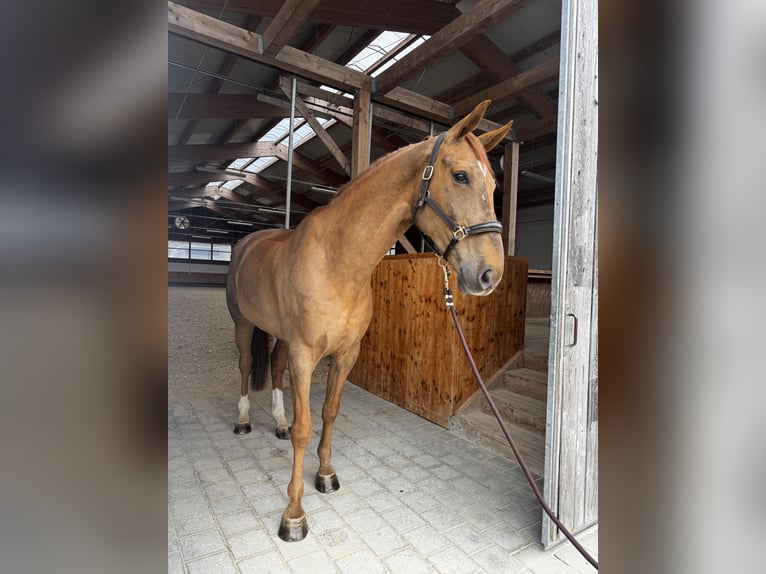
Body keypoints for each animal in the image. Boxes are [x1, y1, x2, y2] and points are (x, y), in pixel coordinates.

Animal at [226, 100, 513, 542]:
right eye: (461, 175)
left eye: (496, 185)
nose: (490, 275)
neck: (337, 262)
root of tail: (247, 242)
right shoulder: (306, 356)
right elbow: (305, 428)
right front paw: (293, 514)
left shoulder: (346, 354)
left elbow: (329, 412)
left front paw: (326, 475)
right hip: (243, 325)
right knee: (245, 366)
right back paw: (243, 421)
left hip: (281, 338)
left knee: (272, 367)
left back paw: (277, 423)